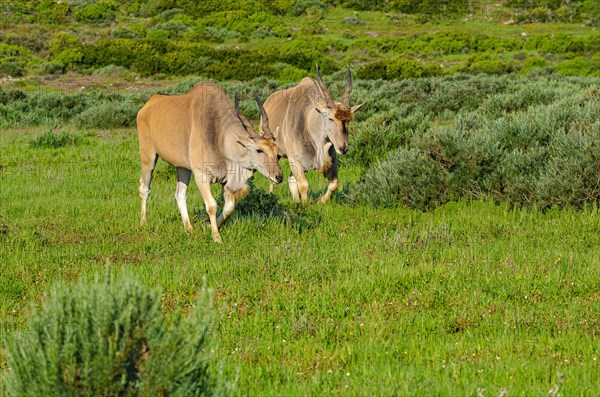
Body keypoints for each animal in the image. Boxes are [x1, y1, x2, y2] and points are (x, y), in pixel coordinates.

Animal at [137, 83, 282, 241]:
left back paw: (189, 228)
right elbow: (212, 205)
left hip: (183, 168)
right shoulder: (201, 175)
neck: (218, 136)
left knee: (180, 194)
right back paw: (143, 223)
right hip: (148, 157)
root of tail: (149, 103)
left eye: (276, 151)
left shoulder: (227, 180)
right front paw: (216, 237)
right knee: (144, 188)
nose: (279, 177)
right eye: (259, 150)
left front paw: (208, 227)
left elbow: (229, 207)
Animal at [262, 64, 360, 203]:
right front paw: (305, 204)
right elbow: (304, 185)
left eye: (348, 120)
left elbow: (334, 184)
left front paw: (320, 201)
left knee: (291, 179)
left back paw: (296, 201)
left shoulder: (332, 162)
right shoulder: (295, 161)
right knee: (273, 179)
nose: (343, 148)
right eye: (330, 118)